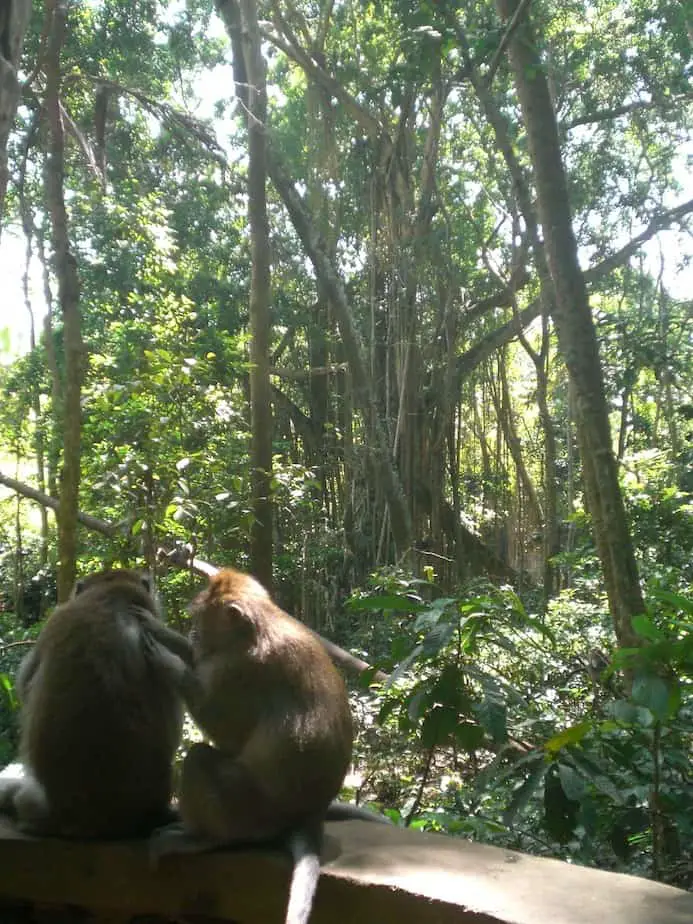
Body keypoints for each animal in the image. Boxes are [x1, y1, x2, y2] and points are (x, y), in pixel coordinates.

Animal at [152, 568, 374, 924]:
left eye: (200, 617)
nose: (193, 633)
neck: (256, 628)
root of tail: (308, 815)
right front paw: (163, 634)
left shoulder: (238, 669)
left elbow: (229, 735)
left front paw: (168, 660)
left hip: (251, 808)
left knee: (200, 759)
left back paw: (204, 838)